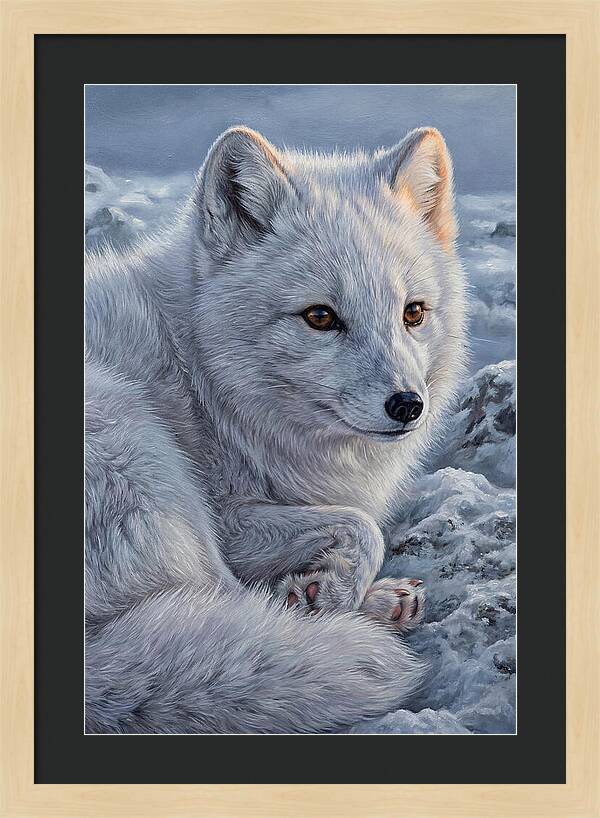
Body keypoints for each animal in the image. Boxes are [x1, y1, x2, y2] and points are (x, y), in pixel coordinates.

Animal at [84, 124, 467, 733]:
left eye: (413, 313)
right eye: (320, 317)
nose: (408, 406)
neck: (201, 376)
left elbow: (356, 525)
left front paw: (326, 588)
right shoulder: (228, 517)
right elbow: (364, 526)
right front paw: (329, 593)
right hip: (139, 449)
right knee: (224, 599)